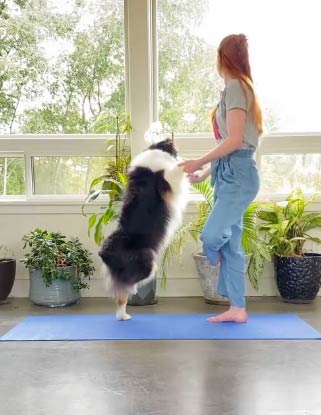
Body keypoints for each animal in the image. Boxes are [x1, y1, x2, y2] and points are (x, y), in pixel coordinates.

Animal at [97, 138, 188, 320]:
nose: (170, 138)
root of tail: (104, 252)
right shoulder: (167, 181)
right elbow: (176, 171)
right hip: (148, 262)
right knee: (126, 285)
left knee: (121, 297)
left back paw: (123, 315)